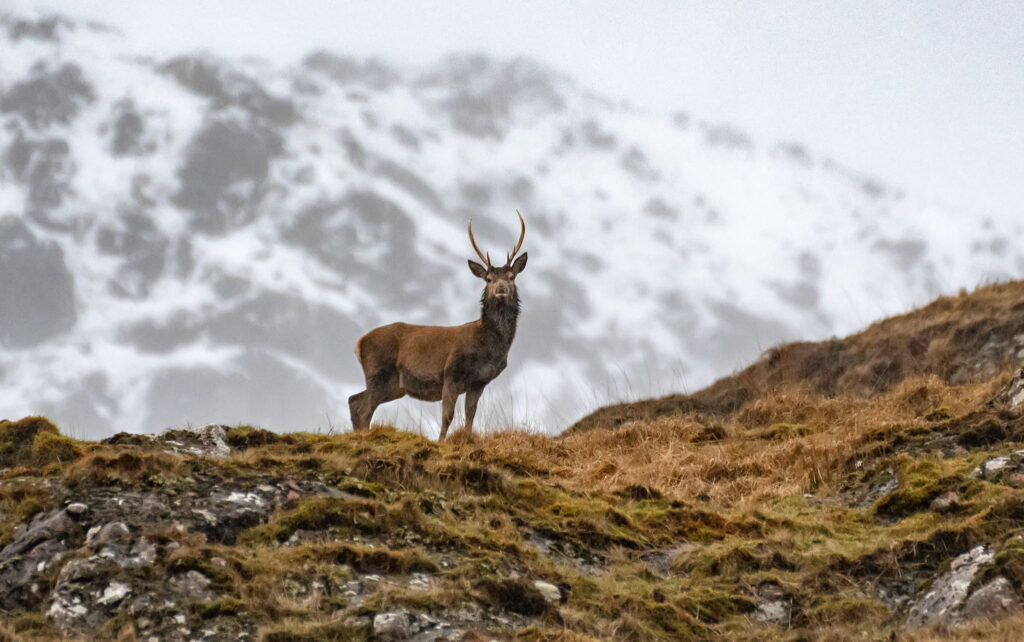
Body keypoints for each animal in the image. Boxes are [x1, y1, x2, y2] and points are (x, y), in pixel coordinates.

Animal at [349, 211, 528, 440]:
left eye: (512, 277)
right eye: (488, 279)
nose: (501, 288)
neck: (488, 347)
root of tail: (359, 342)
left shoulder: (478, 382)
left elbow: (470, 416)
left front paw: (466, 438)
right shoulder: (451, 372)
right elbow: (448, 416)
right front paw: (441, 442)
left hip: (394, 385)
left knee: (354, 400)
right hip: (377, 372)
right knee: (364, 409)